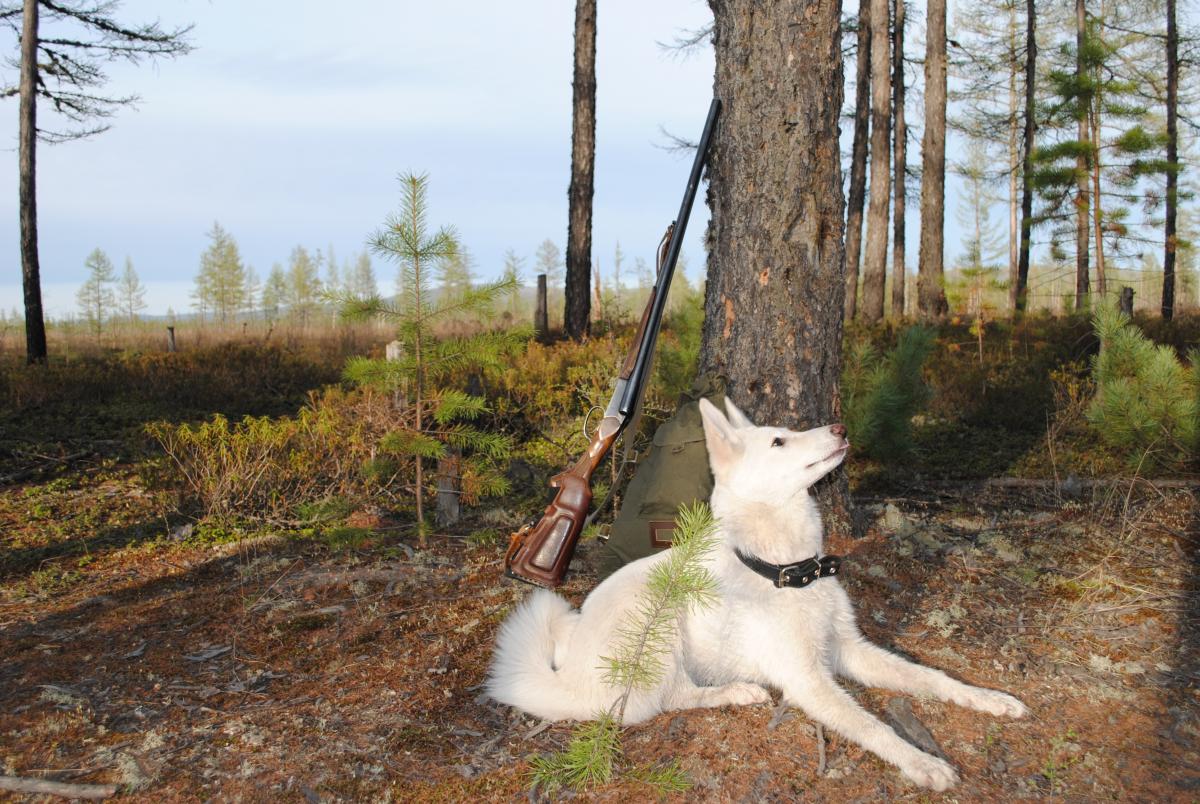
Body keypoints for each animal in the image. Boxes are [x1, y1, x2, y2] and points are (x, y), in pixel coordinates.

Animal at [482, 400, 1027, 792]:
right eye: (780, 440)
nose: (840, 427)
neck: (789, 571)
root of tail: (567, 676)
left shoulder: (850, 651)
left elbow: (931, 677)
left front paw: (989, 699)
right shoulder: (808, 681)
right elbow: (874, 726)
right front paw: (921, 762)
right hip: (660, 630)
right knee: (663, 701)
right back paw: (736, 691)